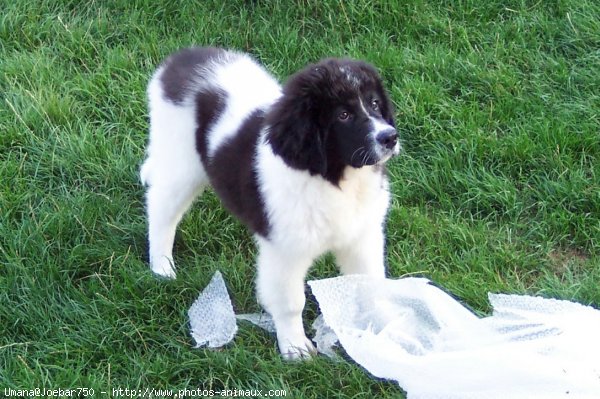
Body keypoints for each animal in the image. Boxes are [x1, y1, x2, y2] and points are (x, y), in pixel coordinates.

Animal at [141, 47, 400, 360]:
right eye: (344, 115)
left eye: (375, 104)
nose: (390, 137)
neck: (336, 179)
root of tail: (180, 59)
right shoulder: (285, 251)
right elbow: (291, 302)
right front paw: (295, 346)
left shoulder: (362, 235)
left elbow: (371, 283)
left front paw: (385, 330)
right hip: (182, 162)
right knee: (161, 208)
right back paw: (162, 265)